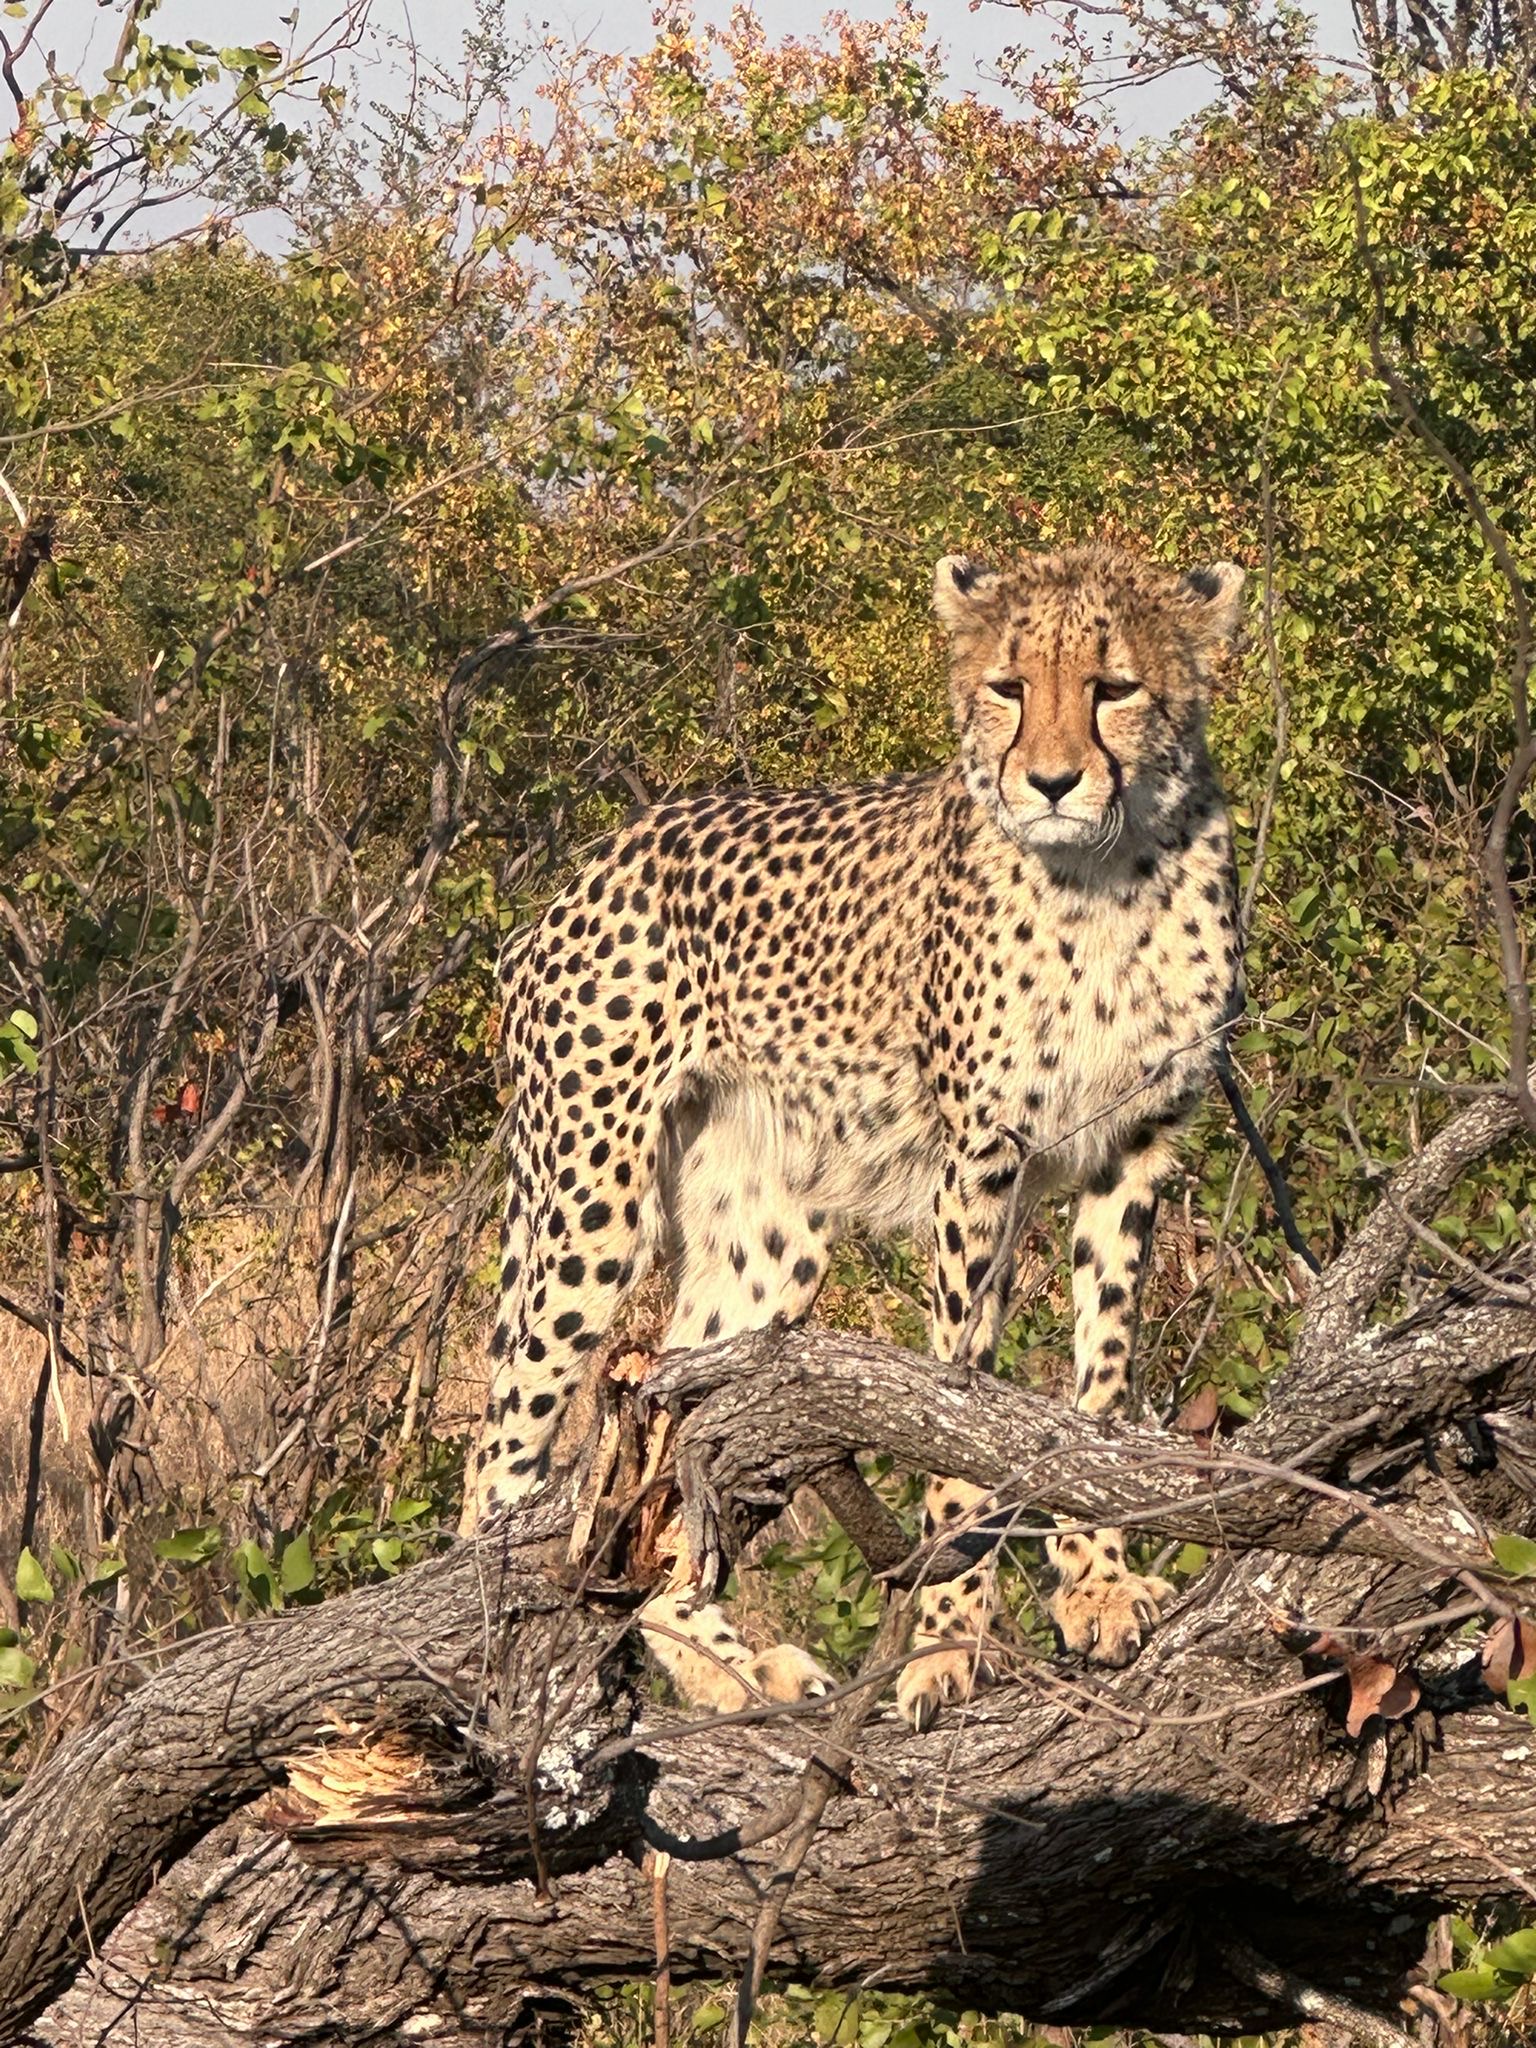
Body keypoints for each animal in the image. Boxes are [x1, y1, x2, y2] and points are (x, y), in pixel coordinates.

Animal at [459, 542, 1246, 1731]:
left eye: (1115, 688)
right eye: (1009, 685)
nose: (1052, 781)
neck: (1108, 879)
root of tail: (577, 878)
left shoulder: (1132, 1149)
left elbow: (1101, 1387)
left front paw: (1099, 1584)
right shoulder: (981, 1163)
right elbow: (959, 1410)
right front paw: (948, 1642)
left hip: (766, 1234)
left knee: (672, 1446)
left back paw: (736, 1670)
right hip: (588, 1201)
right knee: (497, 1463)